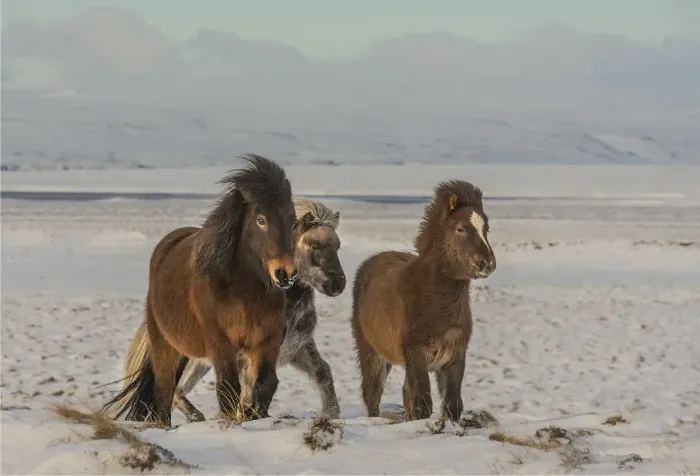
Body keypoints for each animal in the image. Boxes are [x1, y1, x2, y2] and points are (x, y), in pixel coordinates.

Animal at [101, 154, 298, 426]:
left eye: (294, 221)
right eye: (261, 219)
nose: (285, 273)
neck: (245, 293)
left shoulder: (266, 342)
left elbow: (265, 385)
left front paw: (253, 417)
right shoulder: (221, 345)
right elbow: (228, 389)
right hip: (165, 346)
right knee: (164, 392)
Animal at [115, 198, 347, 422]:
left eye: (338, 246)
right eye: (314, 245)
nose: (338, 283)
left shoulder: (296, 347)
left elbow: (322, 371)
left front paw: (332, 413)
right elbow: (247, 390)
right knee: (176, 388)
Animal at [350, 180, 497, 422]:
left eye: (486, 229)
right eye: (461, 228)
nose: (488, 264)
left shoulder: (454, 357)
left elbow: (452, 405)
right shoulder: (417, 357)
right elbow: (422, 405)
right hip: (372, 352)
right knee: (372, 392)